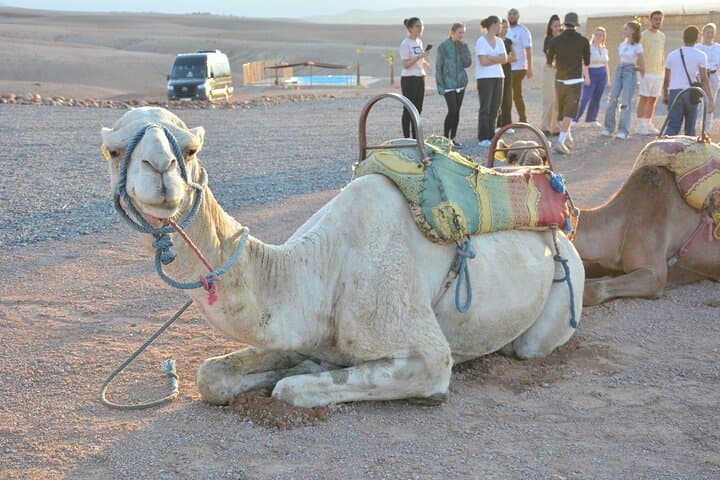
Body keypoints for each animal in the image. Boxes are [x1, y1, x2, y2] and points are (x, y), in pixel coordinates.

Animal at [101, 106, 584, 408]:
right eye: (113, 151)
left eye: (190, 150)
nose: (160, 171)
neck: (319, 270)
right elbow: (211, 376)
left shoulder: (428, 356)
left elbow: (292, 390)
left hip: (560, 300)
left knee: (529, 346)